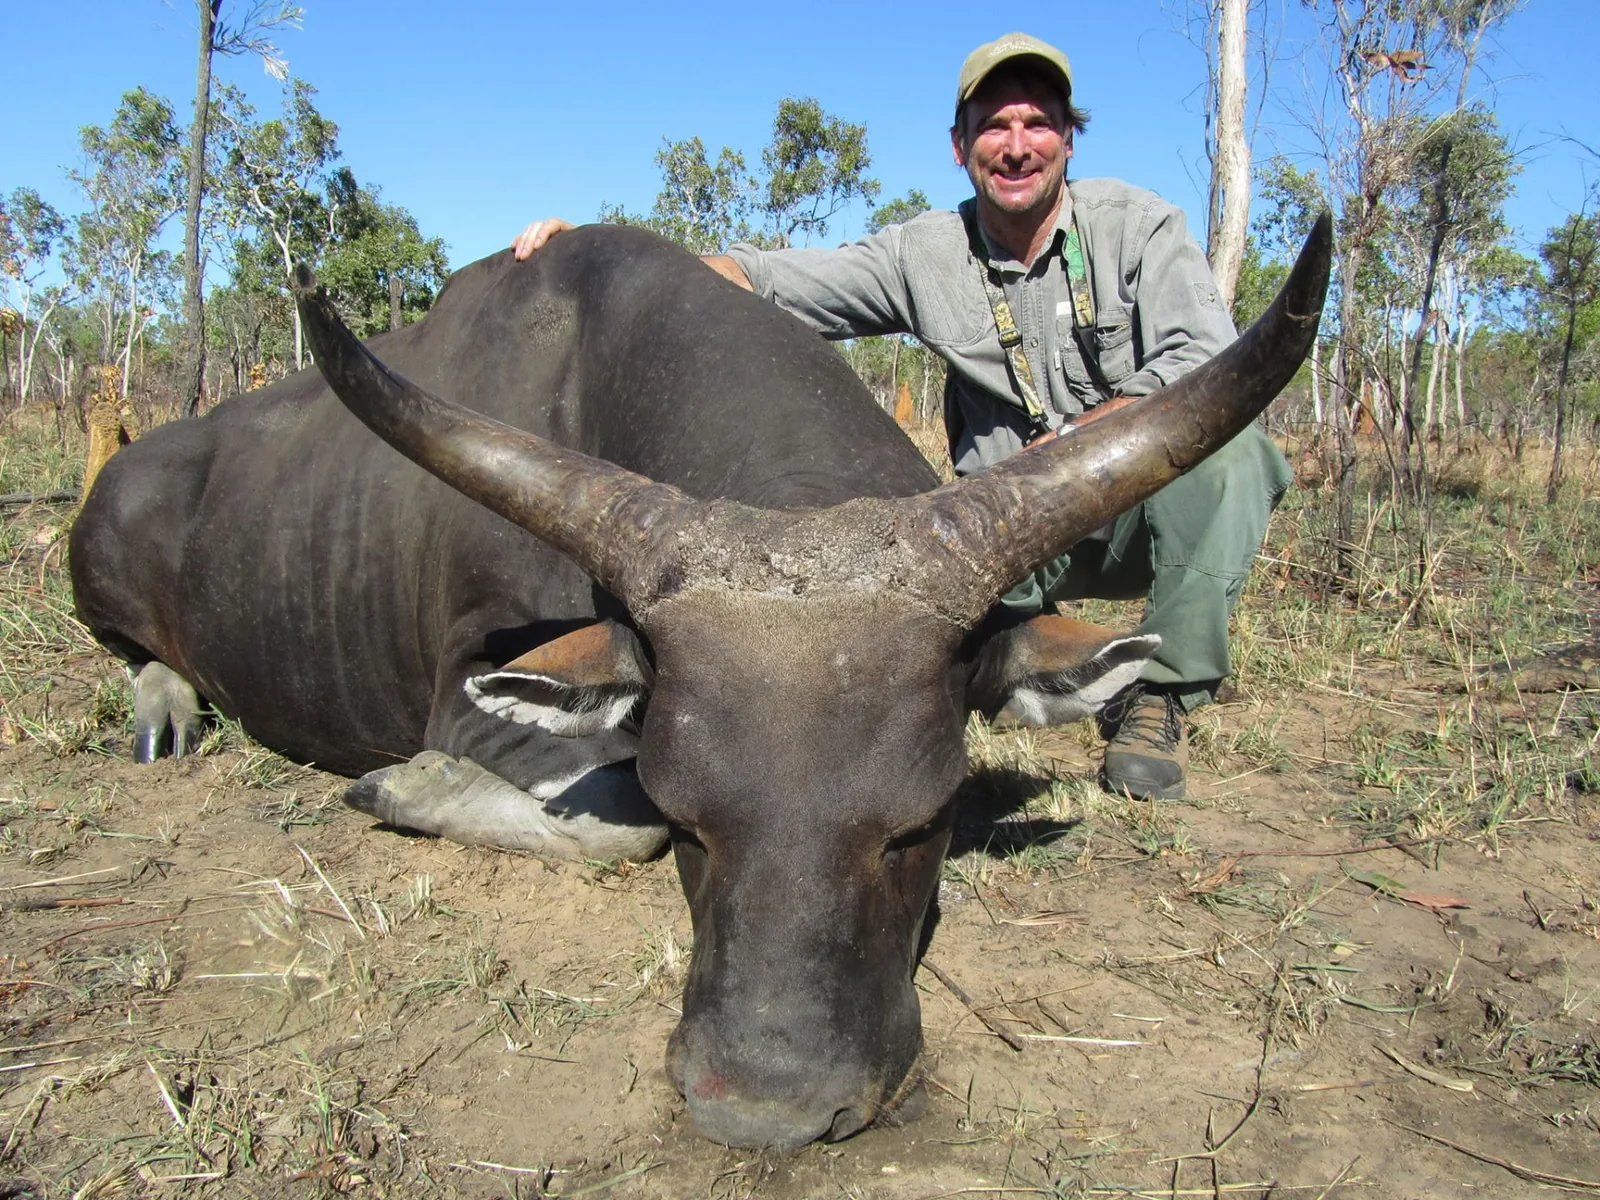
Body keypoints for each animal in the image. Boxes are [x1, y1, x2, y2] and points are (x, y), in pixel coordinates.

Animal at [70, 215, 1330, 1150]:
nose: (766, 1112)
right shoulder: (472, 695)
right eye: (693, 827)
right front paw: (400, 786)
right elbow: (600, 809)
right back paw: (166, 708)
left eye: (918, 828)